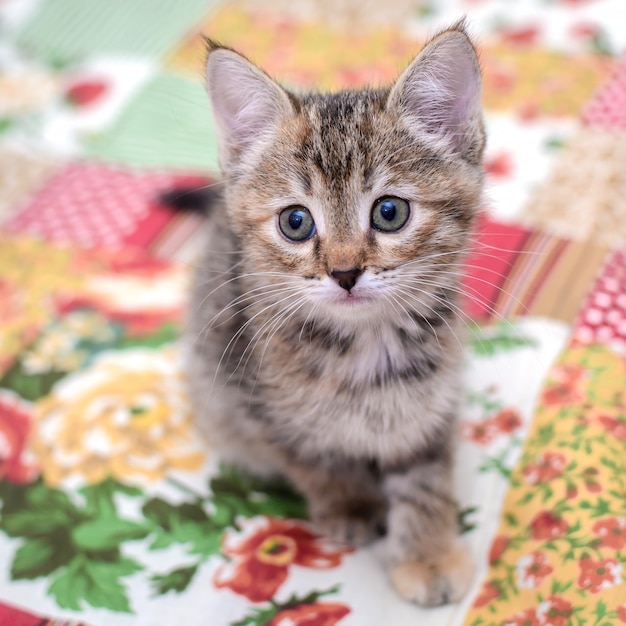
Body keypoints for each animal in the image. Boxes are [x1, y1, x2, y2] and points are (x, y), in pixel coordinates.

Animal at [188, 23, 486, 604]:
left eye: (390, 212)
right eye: (296, 222)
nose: (345, 272)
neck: (366, 347)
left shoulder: (429, 404)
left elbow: (425, 480)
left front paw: (428, 555)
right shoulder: (261, 406)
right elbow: (316, 461)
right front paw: (351, 505)